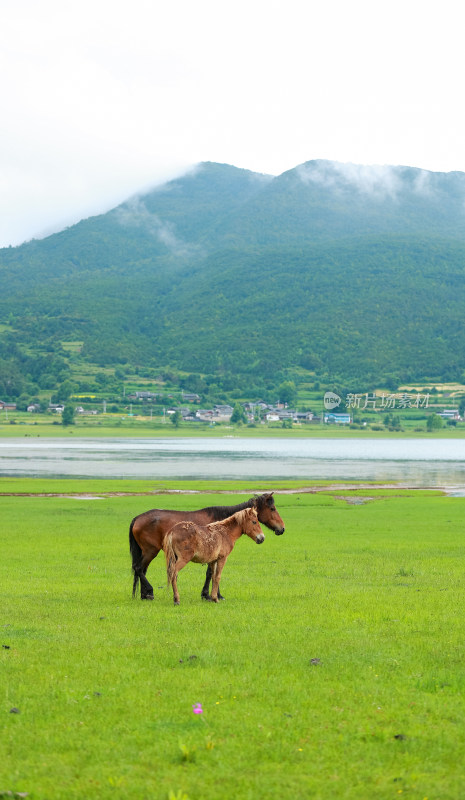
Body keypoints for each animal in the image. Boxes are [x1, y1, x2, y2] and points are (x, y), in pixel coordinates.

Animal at [129, 494, 284, 600]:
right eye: (272, 508)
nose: (282, 529)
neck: (222, 523)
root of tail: (137, 518)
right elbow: (211, 573)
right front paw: (211, 595)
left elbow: (212, 573)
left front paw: (210, 594)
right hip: (151, 551)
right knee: (139, 568)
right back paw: (149, 592)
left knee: (142, 570)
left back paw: (144, 595)